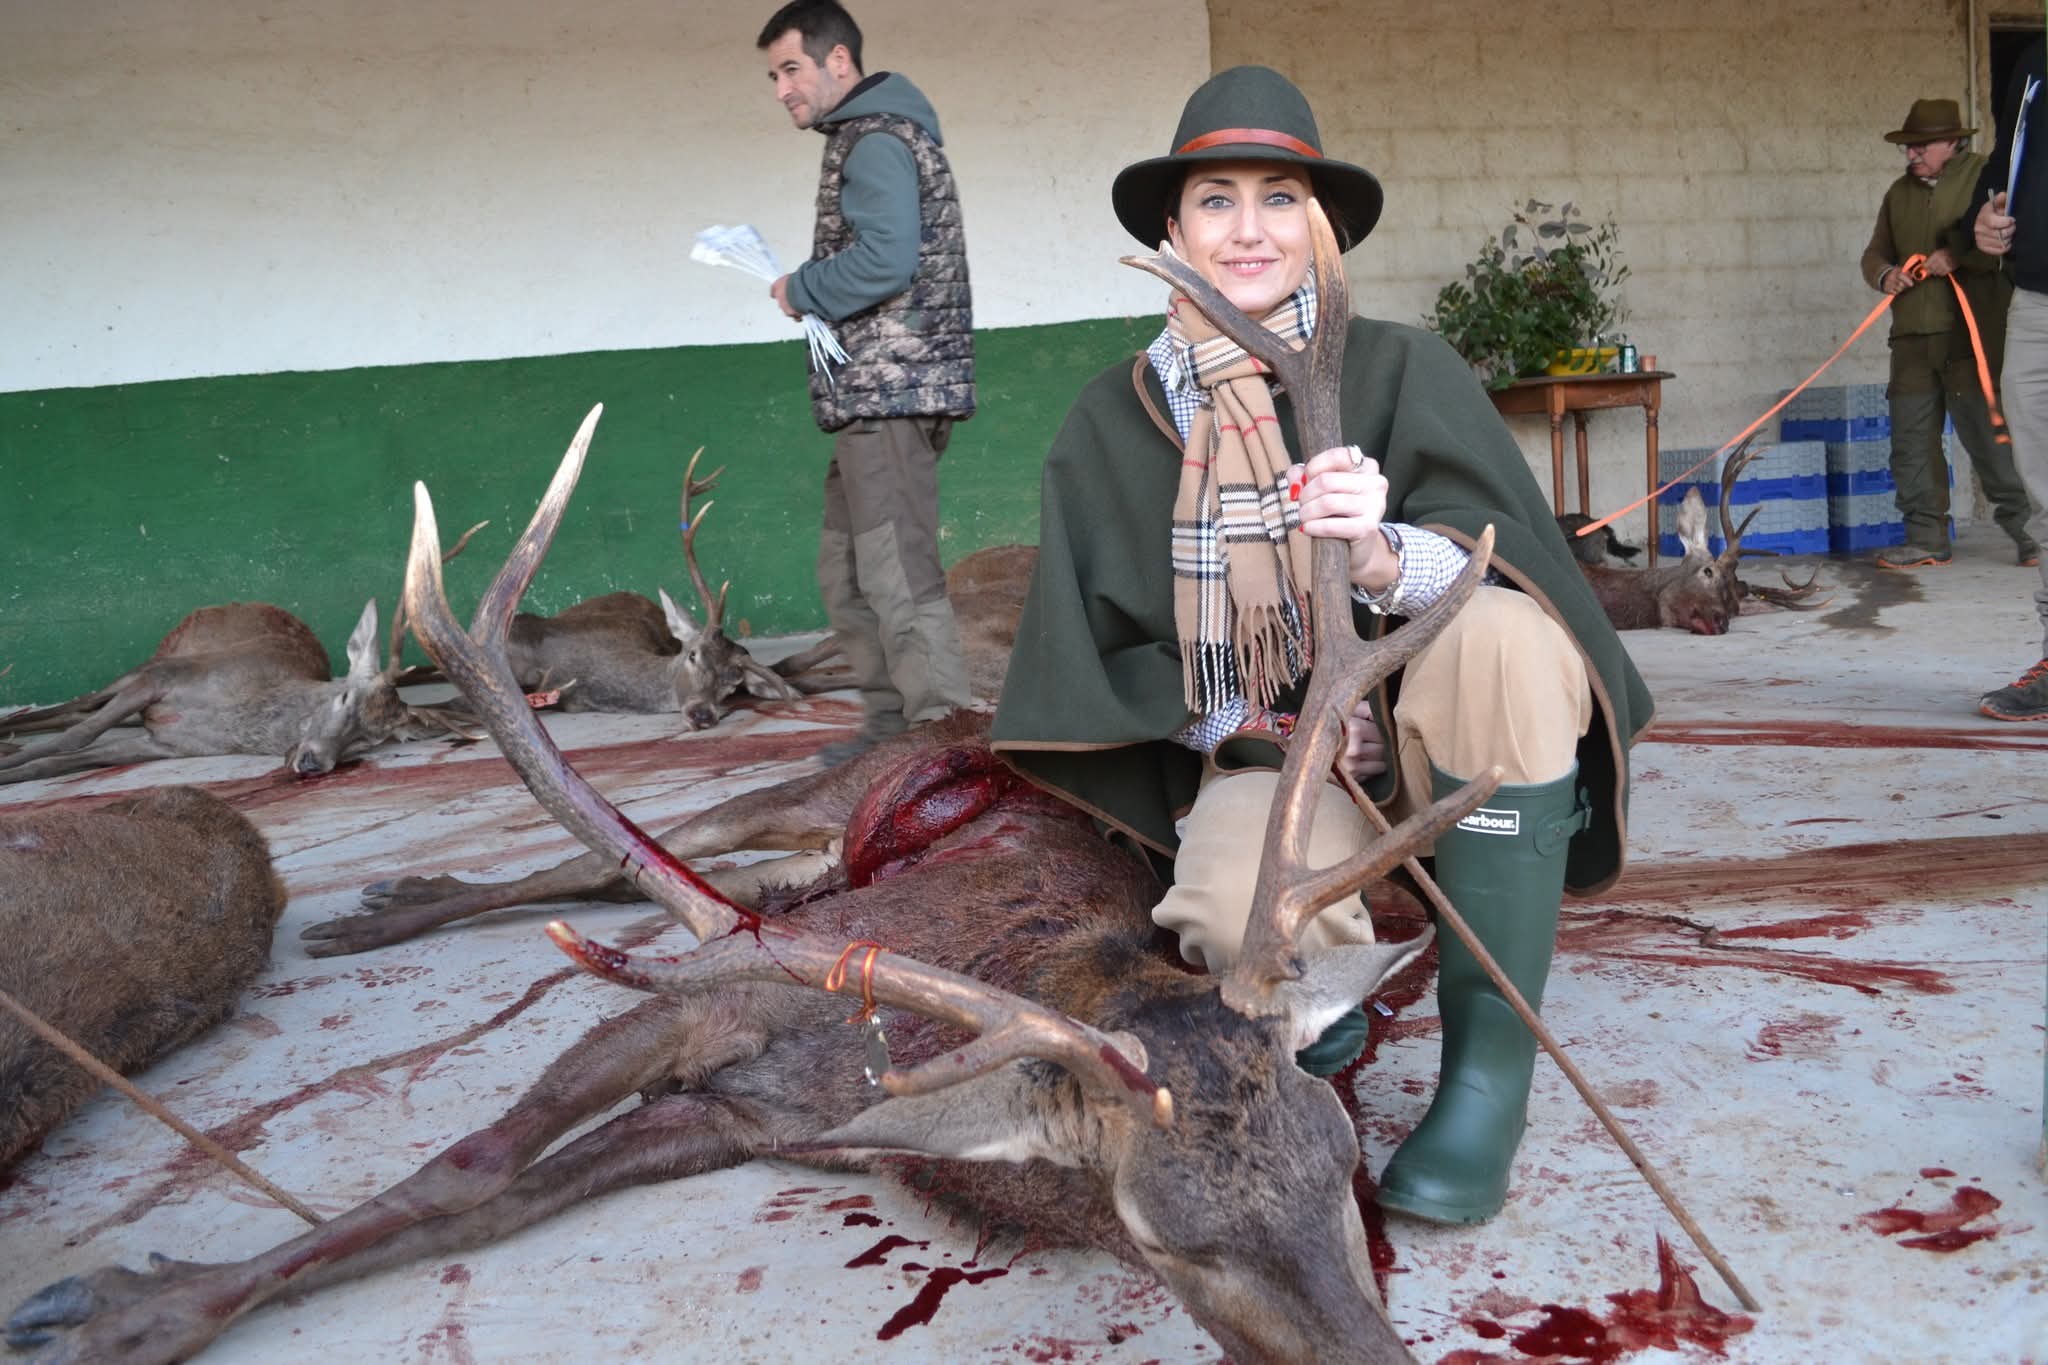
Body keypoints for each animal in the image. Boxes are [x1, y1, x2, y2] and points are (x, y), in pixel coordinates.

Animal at [0, 527, 486, 786]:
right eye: (343, 698)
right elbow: (72, 739)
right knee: (77, 707)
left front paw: (15, 770)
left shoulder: (168, 747)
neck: (231, 717)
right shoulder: (163, 678)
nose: (314, 762)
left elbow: (58, 761)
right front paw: (8, 764)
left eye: (371, 738)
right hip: (154, 661)